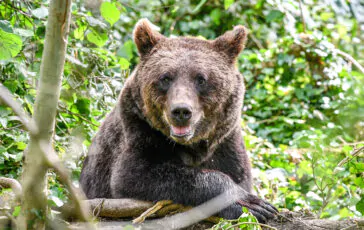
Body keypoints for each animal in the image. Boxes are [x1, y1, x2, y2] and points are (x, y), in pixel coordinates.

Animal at [79, 18, 278, 223]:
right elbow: (136, 175)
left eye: (201, 79)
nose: (181, 111)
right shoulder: (139, 130)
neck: (193, 146)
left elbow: (238, 173)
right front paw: (251, 204)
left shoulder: (226, 142)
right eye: (166, 78)